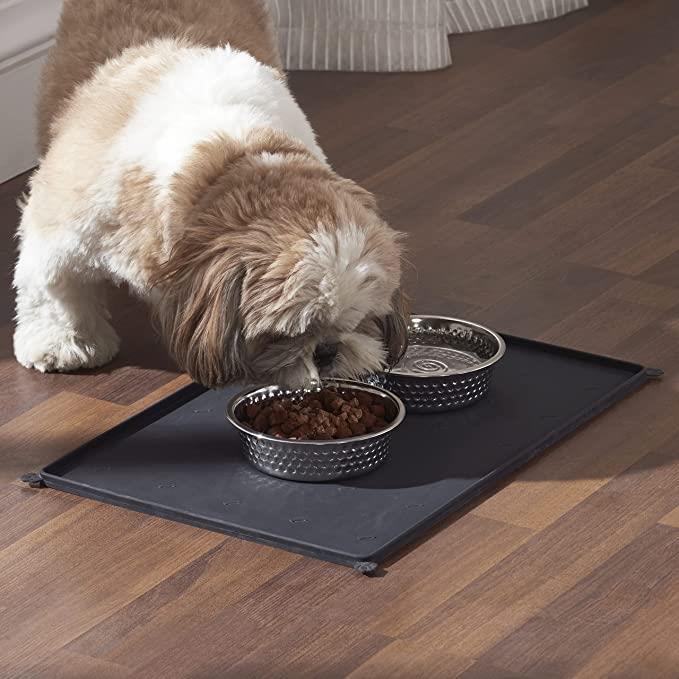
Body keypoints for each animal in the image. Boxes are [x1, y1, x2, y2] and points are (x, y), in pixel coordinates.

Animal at [13, 0, 410, 388]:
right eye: (285, 334)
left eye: (359, 321)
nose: (327, 351)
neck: (229, 157)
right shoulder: (66, 223)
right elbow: (53, 286)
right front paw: (64, 344)